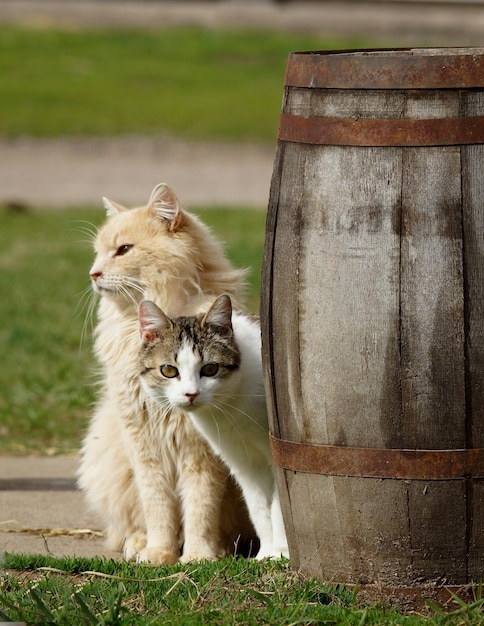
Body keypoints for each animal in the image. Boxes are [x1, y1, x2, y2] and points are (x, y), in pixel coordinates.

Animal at [78, 183, 258, 564]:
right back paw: (138, 543)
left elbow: (200, 507)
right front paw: (159, 554)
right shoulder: (143, 442)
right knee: (131, 523)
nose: (93, 274)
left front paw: (199, 556)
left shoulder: (200, 450)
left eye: (124, 250)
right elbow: (158, 507)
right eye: (99, 253)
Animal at [140, 294, 290, 560]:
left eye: (210, 368)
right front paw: (266, 554)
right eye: (168, 370)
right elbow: (259, 507)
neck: (230, 404)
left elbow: (279, 506)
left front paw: (282, 553)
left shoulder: (276, 453)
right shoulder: (242, 461)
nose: (191, 394)